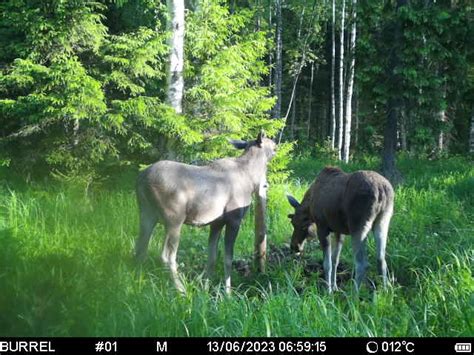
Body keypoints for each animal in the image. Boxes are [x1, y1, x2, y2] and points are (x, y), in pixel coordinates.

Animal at [133, 133, 276, 294]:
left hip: (147, 214)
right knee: (167, 255)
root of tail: (140, 179)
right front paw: (228, 293)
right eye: (273, 146)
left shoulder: (216, 222)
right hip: (174, 219)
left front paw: (206, 289)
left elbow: (212, 257)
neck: (251, 180)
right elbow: (228, 259)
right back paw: (181, 290)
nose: (276, 145)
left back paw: (136, 287)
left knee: (140, 249)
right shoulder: (234, 220)